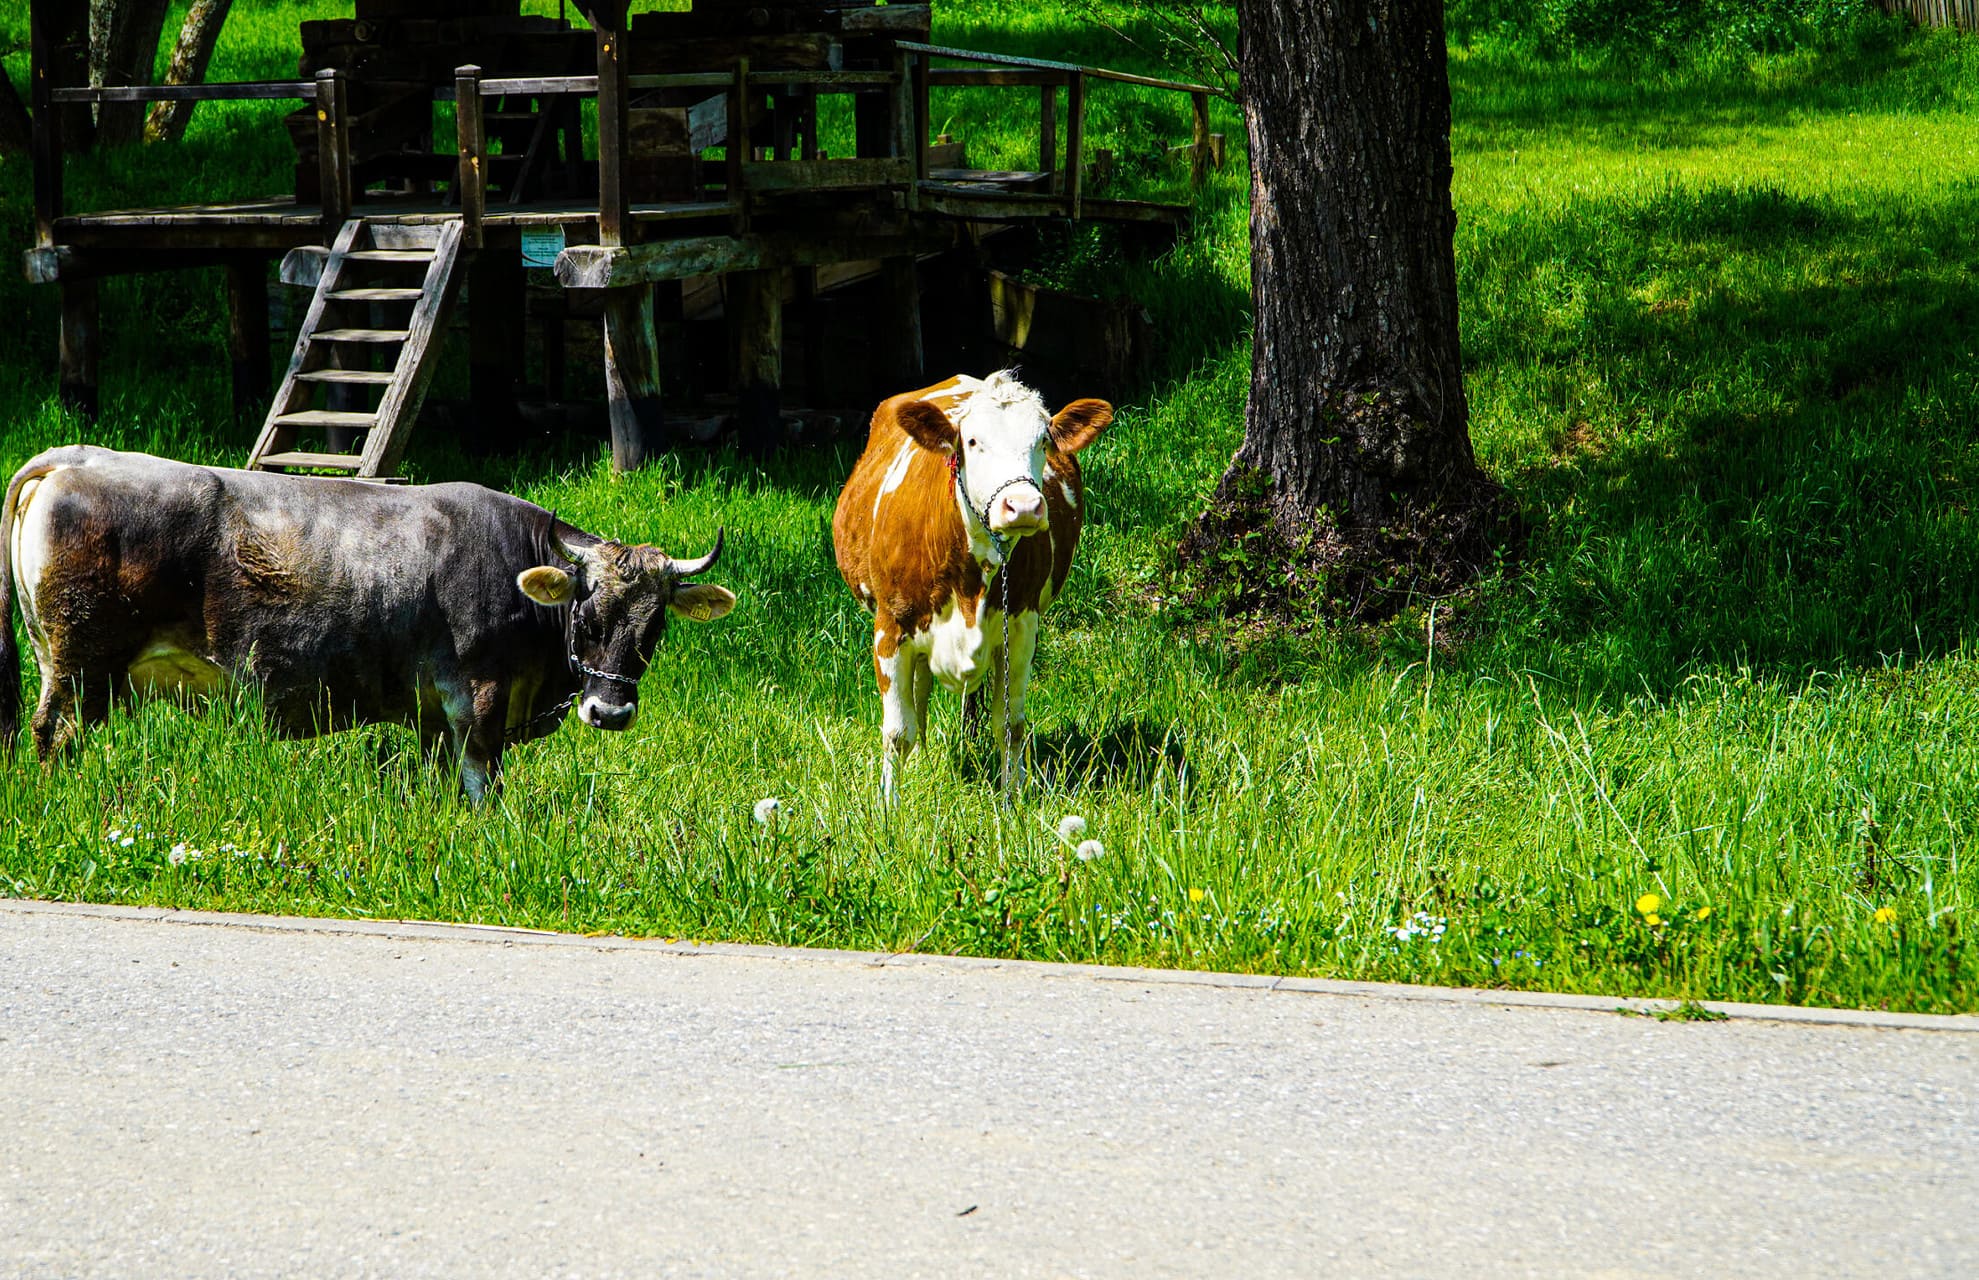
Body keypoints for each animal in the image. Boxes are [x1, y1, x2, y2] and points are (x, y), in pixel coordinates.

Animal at [0, 443, 740, 799]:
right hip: (81, 669)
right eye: (586, 610)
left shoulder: (434, 713)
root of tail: (77, 457)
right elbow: (483, 784)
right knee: (53, 735)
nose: (609, 712)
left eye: (654, 624)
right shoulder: (479, 698)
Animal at [831, 367, 1116, 799]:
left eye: (1043, 441)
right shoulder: (890, 629)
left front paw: (1013, 799)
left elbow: (1010, 724)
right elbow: (897, 732)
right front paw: (888, 805)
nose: (1023, 506)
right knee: (920, 695)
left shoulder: (1021, 627)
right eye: (972, 441)